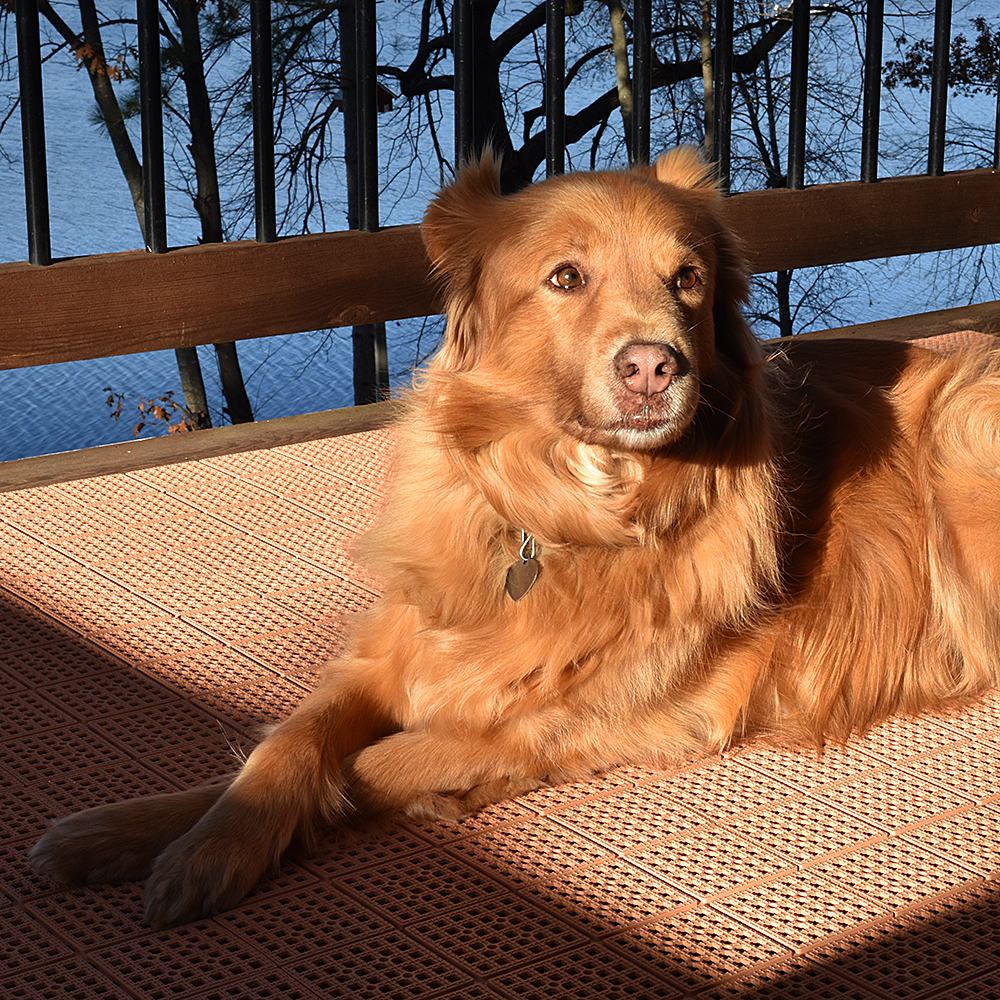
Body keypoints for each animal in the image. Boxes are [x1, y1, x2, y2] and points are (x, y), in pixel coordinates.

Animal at [27, 150, 1000, 928]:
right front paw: (150, 835)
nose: (655, 365)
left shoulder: (559, 725)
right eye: (566, 278)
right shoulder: (398, 648)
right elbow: (282, 745)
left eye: (687, 279)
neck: (569, 516)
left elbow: (368, 764)